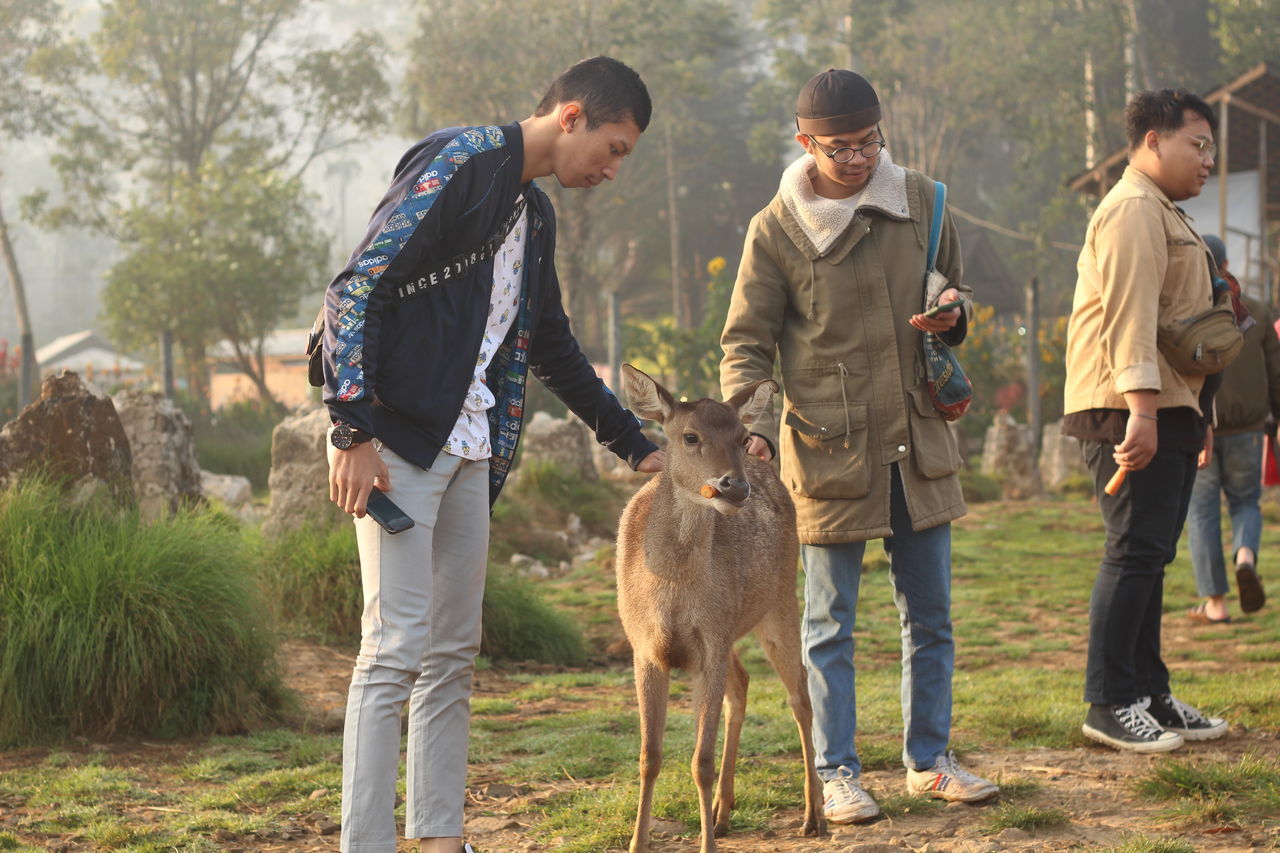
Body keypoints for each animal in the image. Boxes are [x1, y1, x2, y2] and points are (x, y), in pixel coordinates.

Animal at [614, 363, 824, 850]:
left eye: (743, 436)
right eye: (690, 436)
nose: (735, 485)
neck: (670, 591)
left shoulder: (709, 643)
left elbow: (700, 761)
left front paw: (705, 843)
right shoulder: (645, 648)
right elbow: (649, 756)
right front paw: (637, 842)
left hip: (779, 600)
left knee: (800, 696)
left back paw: (813, 815)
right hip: (732, 628)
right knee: (742, 685)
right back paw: (724, 812)